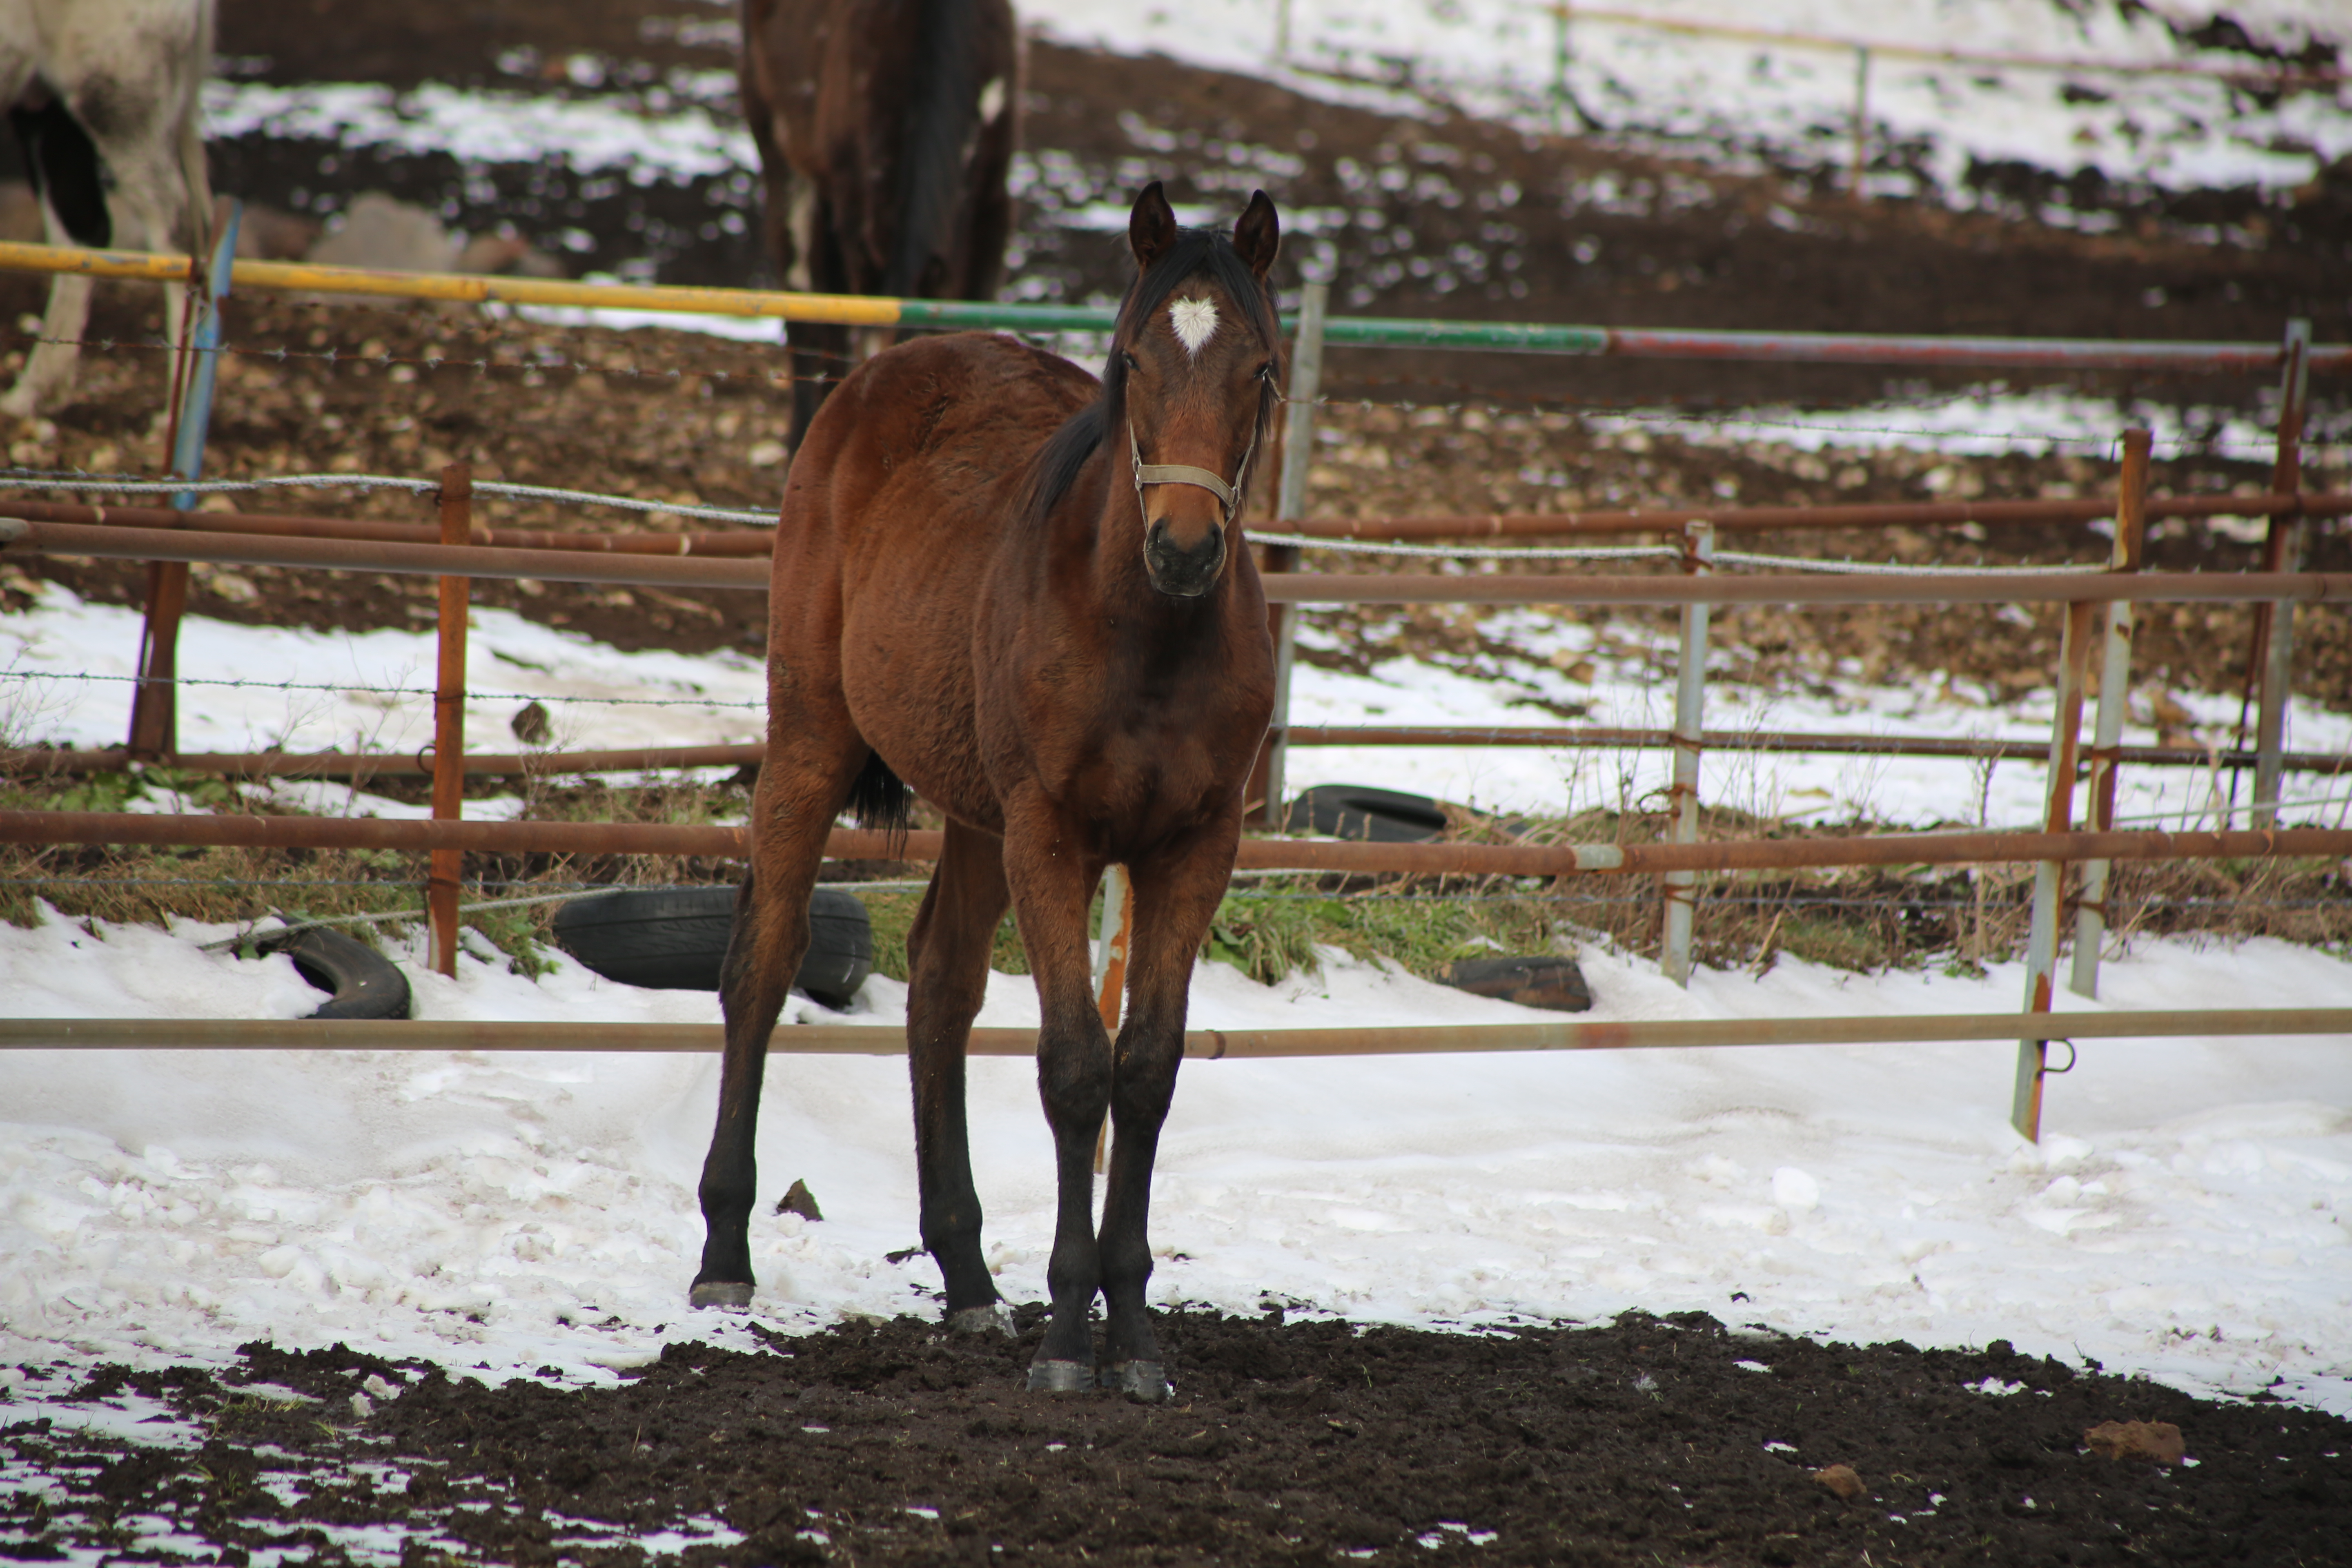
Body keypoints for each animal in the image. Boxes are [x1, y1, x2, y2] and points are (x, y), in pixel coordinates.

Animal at [0, 0, 214, 421]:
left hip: (116, 97)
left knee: (177, 235)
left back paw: (176, 414)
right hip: (45, 106)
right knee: (80, 235)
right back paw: (33, 394)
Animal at [691, 181, 1289, 1401]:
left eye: (1258, 370)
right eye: (1134, 362)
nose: (1185, 548)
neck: (1146, 633)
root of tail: (873, 378)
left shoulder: (1192, 852)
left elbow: (1142, 1071)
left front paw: (1132, 1334)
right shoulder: (1050, 837)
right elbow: (1072, 1067)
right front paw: (1068, 1336)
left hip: (975, 813)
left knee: (938, 988)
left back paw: (966, 1278)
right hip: (814, 738)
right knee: (763, 966)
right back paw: (725, 1251)